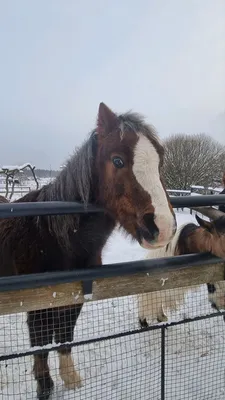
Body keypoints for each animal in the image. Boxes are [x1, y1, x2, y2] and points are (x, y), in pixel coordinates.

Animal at [0, 103, 176, 400]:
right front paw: (44, 387)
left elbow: (65, 335)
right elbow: (40, 345)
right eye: (118, 161)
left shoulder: (75, 295)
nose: (163, 227)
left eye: (159, 162)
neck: (53, 235)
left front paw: (70, 379)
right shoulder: (37, 304)